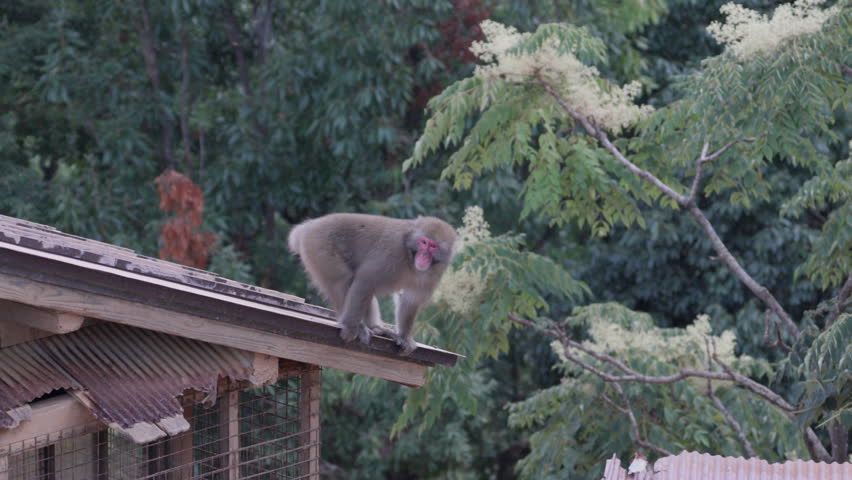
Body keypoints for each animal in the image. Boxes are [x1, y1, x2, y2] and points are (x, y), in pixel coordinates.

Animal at [288, 213, 456, 355]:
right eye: (423, 242)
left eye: (433, 246)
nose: (424, 256)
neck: (409, 256)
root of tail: (309, 226)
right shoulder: (392, 253)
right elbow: (366, 280)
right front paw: (350, 327)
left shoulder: (435, 273)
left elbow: (411, 299)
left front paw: (404, 336)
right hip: (319, 246)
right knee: (342, 280)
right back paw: (353, 324)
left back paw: (375, 327)